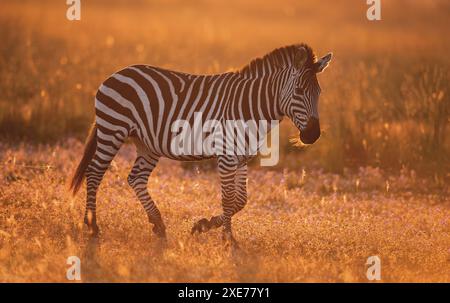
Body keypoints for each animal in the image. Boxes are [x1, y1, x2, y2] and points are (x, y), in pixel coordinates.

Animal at [69, 44, 330, 245]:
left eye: (319, 92)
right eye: (298, 91)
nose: (312, 135)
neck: (253, 106)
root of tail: (116, 73)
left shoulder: (242, 157)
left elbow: (241, 200)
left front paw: (204, 225)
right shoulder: (226, 156)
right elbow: (228, 198)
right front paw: (228, 239)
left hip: (147, 144)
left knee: (136, 178)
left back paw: (158, 225)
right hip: (113, 129)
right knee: (94, 173)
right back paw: (92, 227)